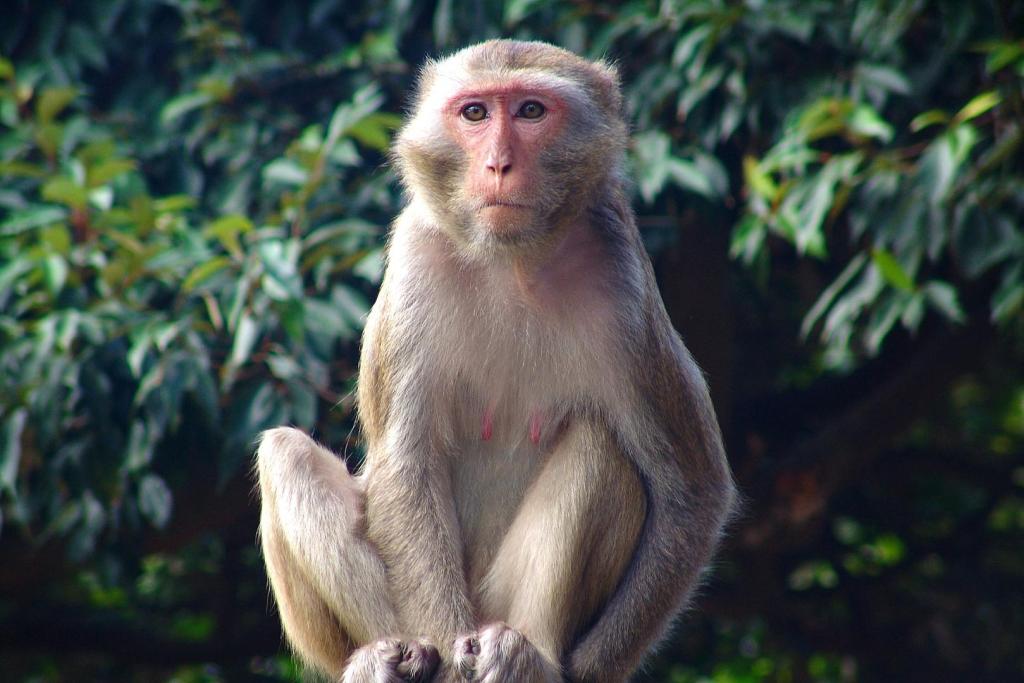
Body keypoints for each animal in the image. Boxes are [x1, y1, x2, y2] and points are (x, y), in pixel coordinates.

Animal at [255, 39, 736, 682]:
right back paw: (389, 656)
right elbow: (406, 466)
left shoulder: (624, 278)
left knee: (600, 447)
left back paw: (524, 654)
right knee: (287, 454)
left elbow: (692, 490)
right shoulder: (416, 257)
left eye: (531, 111)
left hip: (498, 601)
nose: (499, 164)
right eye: (475, 114)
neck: (513, 260)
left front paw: (579, 670)